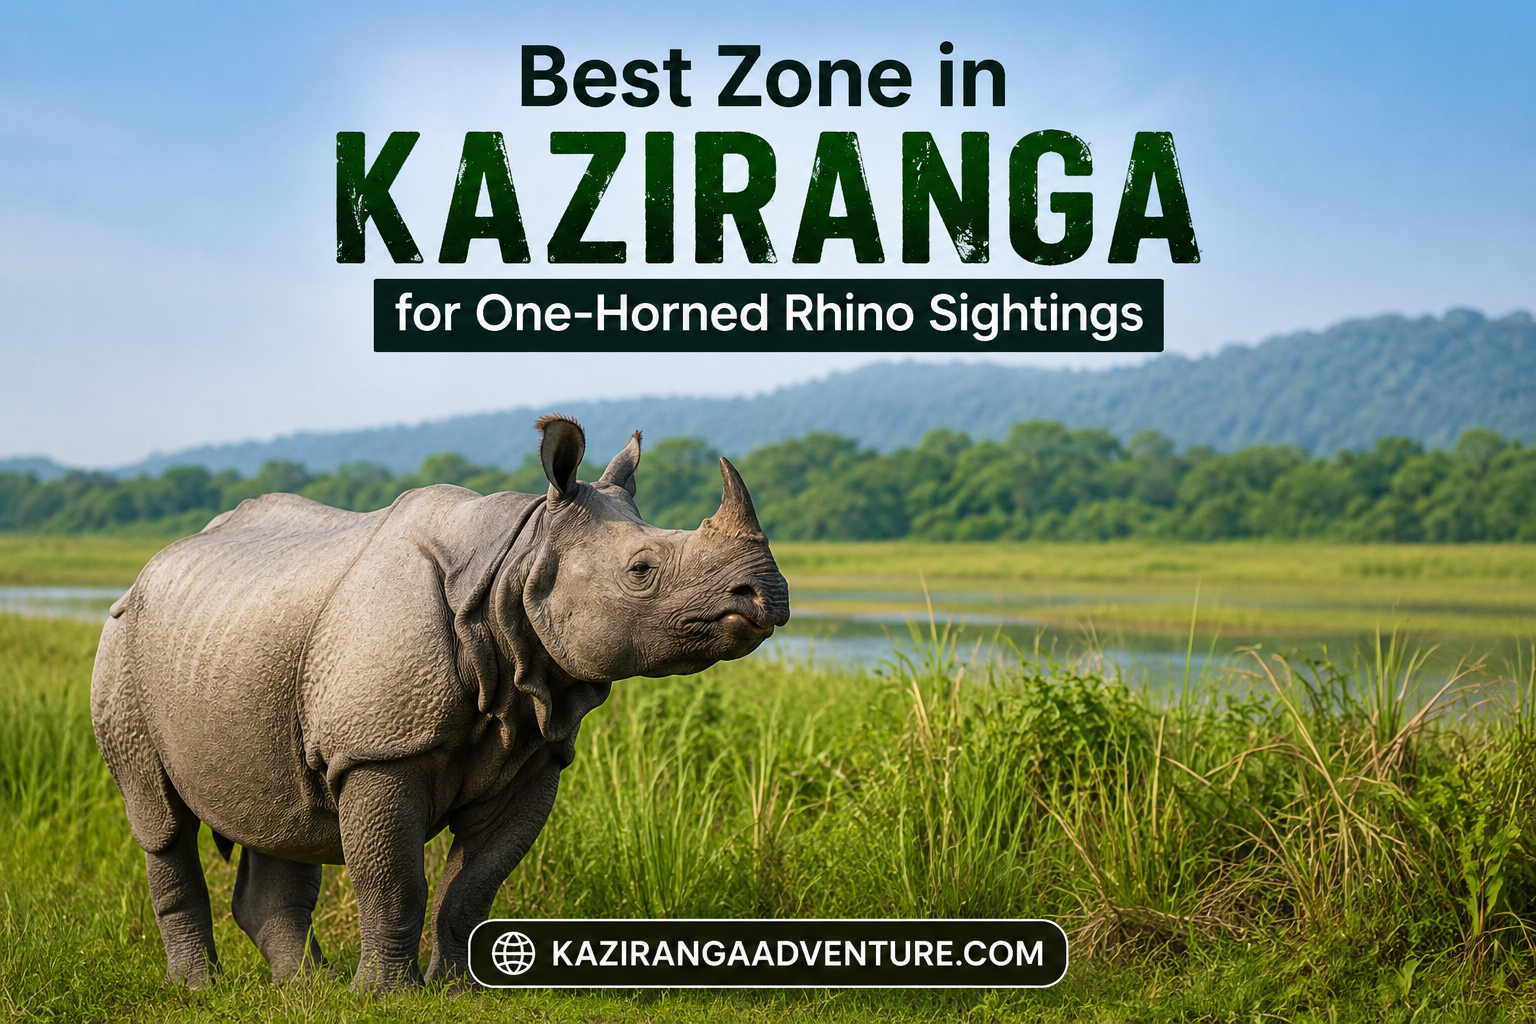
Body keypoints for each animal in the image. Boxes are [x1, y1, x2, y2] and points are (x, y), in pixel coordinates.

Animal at [90, 415, 789, 990]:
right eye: (642, 569)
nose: (769, 595)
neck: (517, 564)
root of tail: (149, 566)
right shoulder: (378, 750)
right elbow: (395, 881)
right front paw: (383, 997)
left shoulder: (533, 754)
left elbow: (472, 885)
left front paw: (459, 990)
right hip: (122, 642)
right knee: (160, 820)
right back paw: (199, 989)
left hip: (241, 647)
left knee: (284, 808)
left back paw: (305, 989)